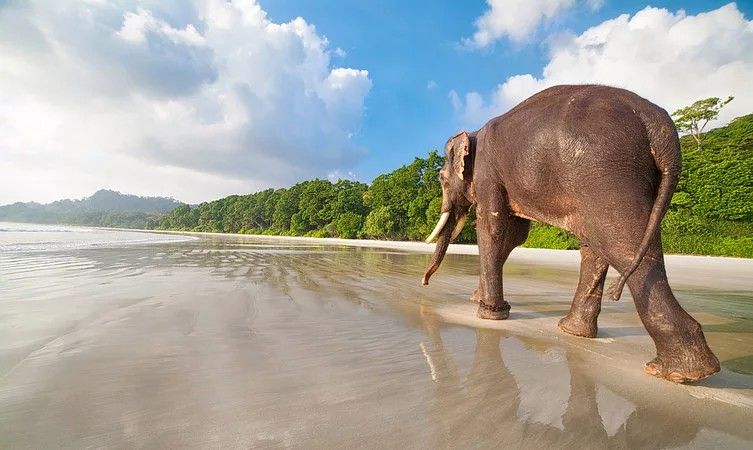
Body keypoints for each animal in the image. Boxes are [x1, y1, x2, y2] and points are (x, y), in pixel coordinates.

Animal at [421, 84, 720, 383]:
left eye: (441, 179)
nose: (423, 282)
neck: (474, 132)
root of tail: (657, 122)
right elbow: (513, 236)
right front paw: (479, 300)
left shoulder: (488, 173)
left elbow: (493, 228)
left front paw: (488, 314)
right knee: (601, 244)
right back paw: (574, 332)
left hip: (603, 170)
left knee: (620, 242)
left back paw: (680, 372)